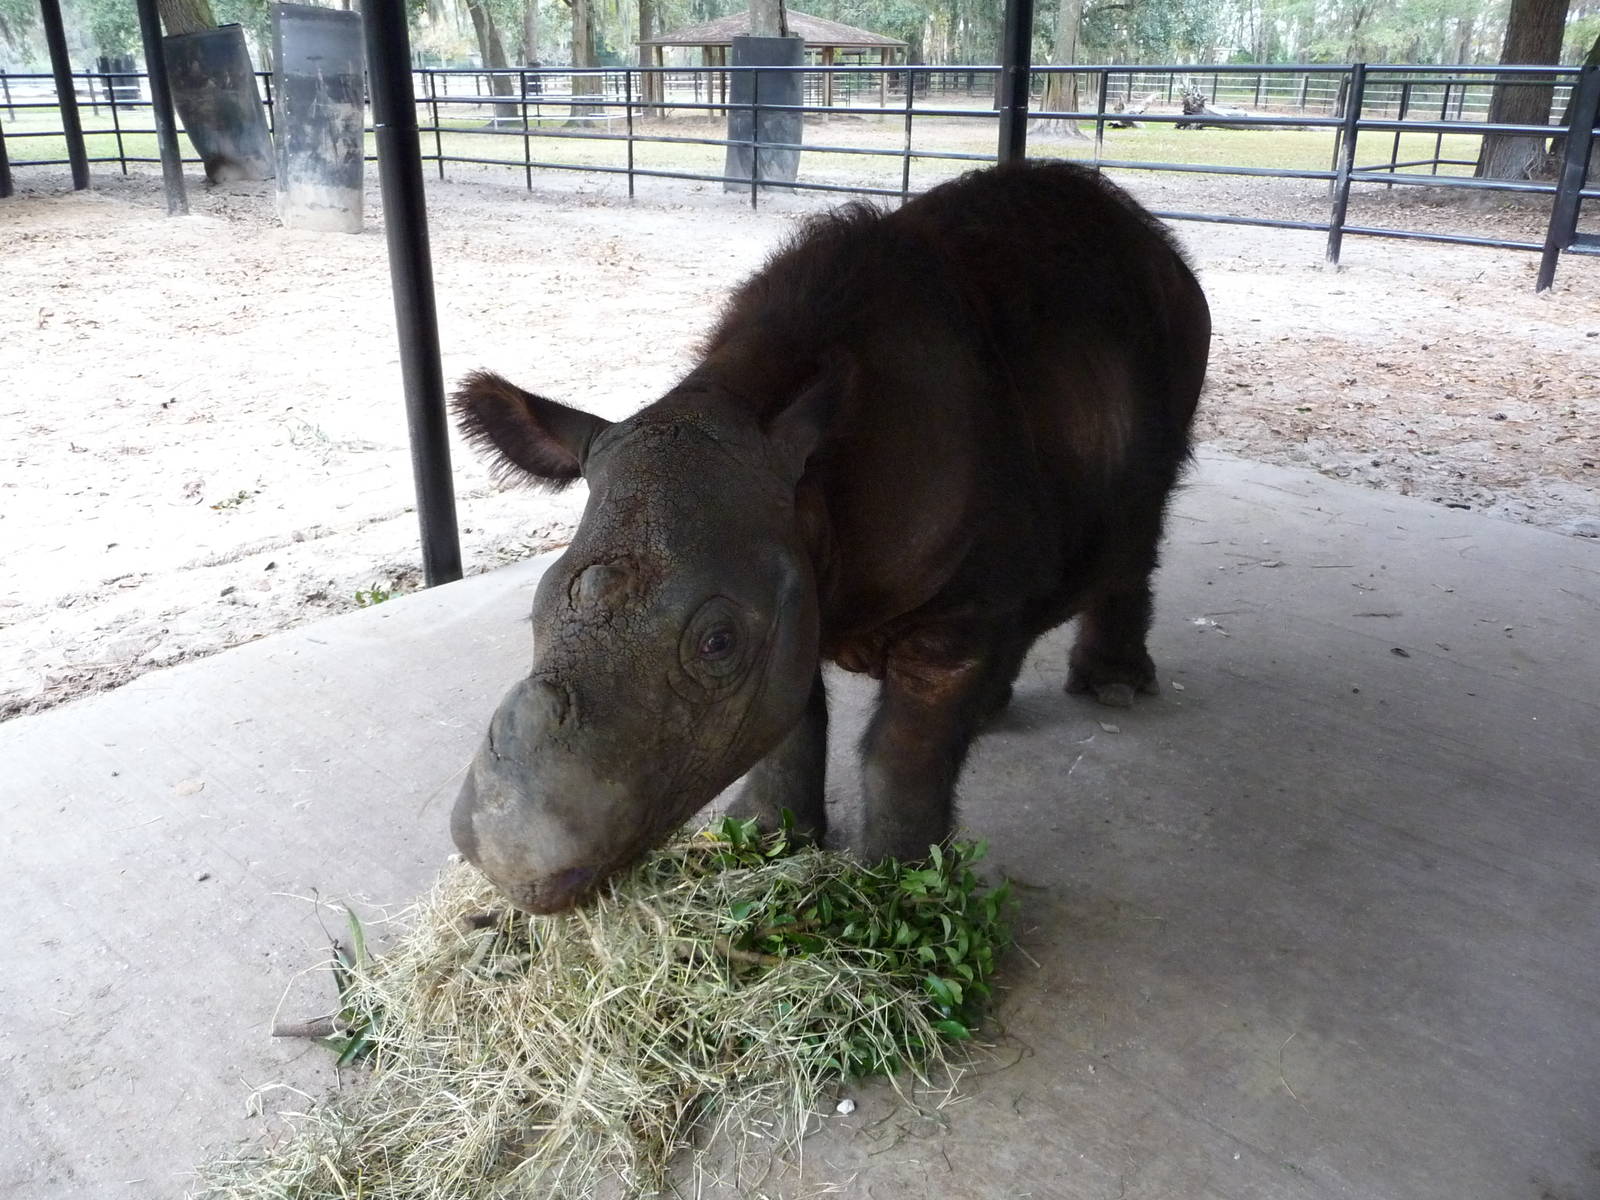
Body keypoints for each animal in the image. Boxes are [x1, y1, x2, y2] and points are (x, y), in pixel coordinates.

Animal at [450, 161, 1211, 913]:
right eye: (536, 611)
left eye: (717, 643)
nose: (510, 861)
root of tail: (1150, 237)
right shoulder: (791, 579)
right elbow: (790, 723)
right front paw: (766, 838)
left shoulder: (949, 605)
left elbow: (903, 749)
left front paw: (902, 889)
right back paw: (994, 709)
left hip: (1180, 332)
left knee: (1141, 523)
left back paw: (1112, 689)